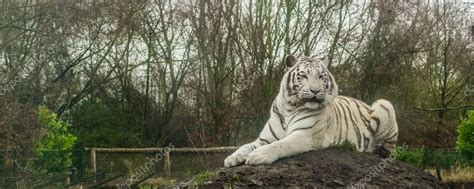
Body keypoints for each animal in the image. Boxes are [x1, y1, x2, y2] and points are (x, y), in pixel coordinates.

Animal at [224, 54, 398, 167]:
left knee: (391, 150)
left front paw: (258, 155)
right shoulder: (264, 139)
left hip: (384, 103)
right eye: (303, 76)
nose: (315, 91)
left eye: (321, 77)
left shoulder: (305, 134)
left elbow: (280, 145)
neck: (290, 107)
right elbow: (245, 146)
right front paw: (232, 158)